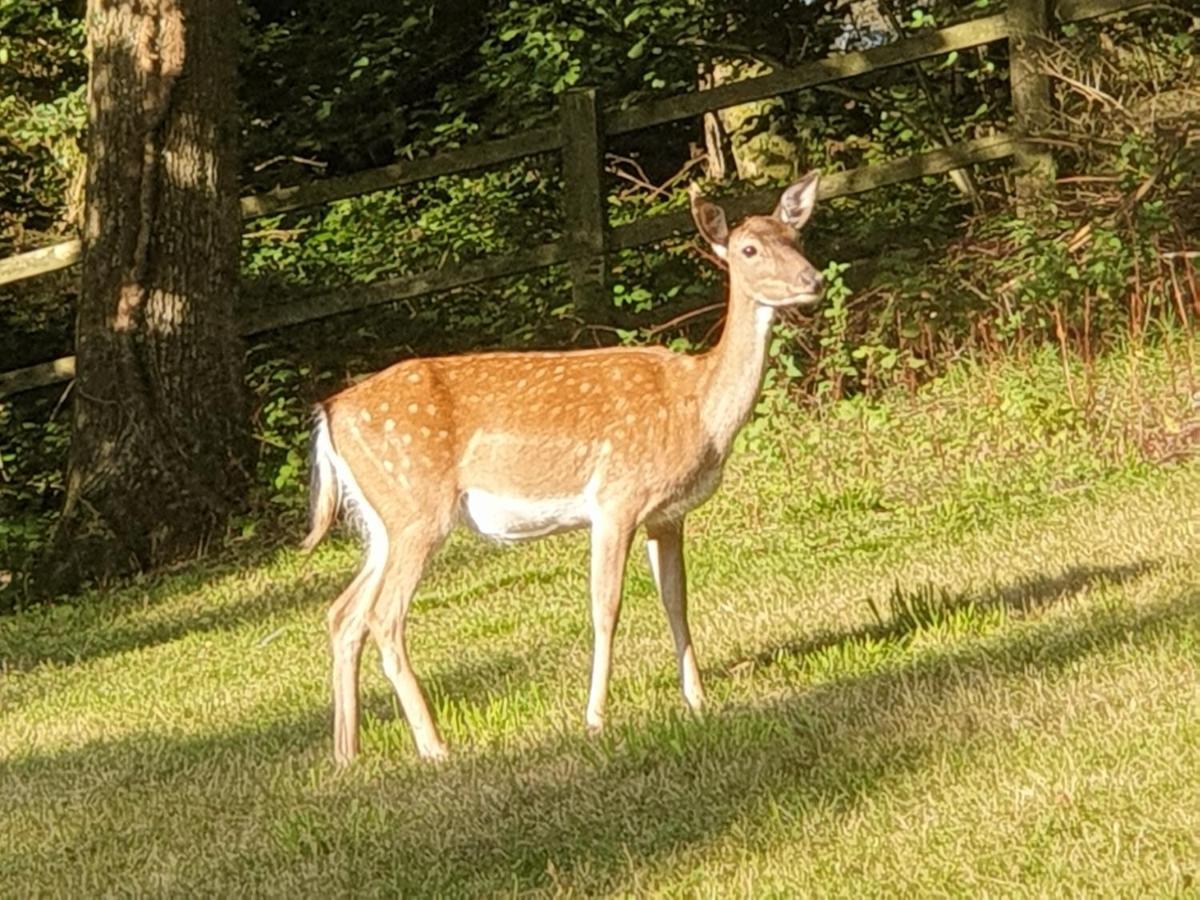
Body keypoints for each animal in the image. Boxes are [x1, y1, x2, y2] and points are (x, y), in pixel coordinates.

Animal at [300, 172, 825, 763]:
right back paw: (434, 745)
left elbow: (677, 601)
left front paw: (698, 701)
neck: (697, 407)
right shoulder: (617, 497)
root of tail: (330, 413)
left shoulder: (668, 515)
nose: (813, 280)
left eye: (797, 236)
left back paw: (347, 755)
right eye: (748, 249)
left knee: (343, 613)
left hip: (383, 520)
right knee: (384, 616)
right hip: (417, 508)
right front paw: (595, 718)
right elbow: (606, 606)